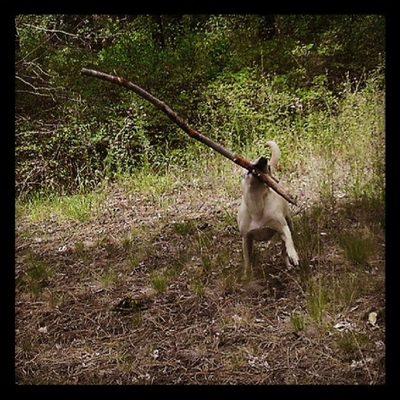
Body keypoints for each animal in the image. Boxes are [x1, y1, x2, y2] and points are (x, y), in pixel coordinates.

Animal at [236, 141, 298, 278]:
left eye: (268, 168)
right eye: (252, 160)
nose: (264, 159)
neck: (256, 202)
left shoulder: (282, 227)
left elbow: (289, 240)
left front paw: (294, 255)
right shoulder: (246, 238)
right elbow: (247, 260)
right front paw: (247, 276)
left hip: (289, 222)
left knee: (283, 251)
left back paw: (288, 264)